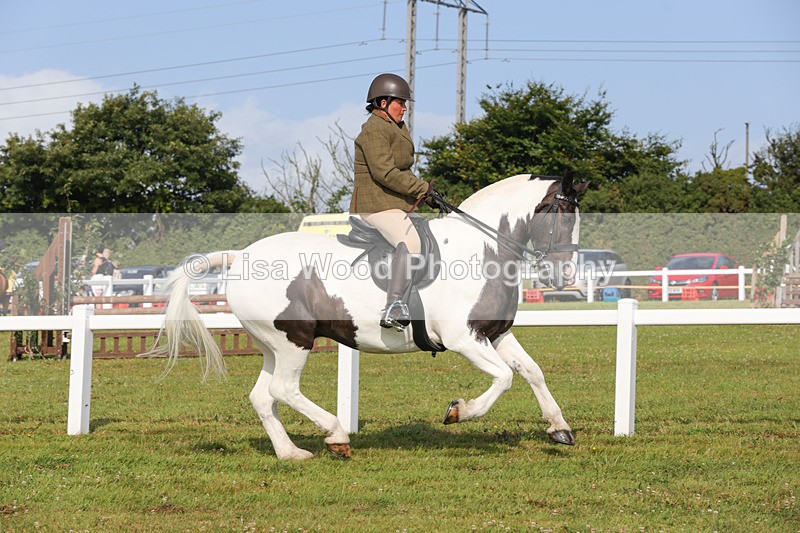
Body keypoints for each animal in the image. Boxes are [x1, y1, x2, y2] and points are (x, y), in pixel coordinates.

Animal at [159, 173, 588, 460]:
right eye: (563, 215)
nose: (564, 277)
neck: (482, 248)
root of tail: (240, 256)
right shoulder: (463, 338)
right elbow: (503, 378)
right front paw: (458, 412)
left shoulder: (495, 334)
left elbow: (532, 372)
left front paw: (559, 428)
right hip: (295, 340)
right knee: (284, 390)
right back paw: (335, 436)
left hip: (273, 346)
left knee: (264, 397)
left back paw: (291, 453)